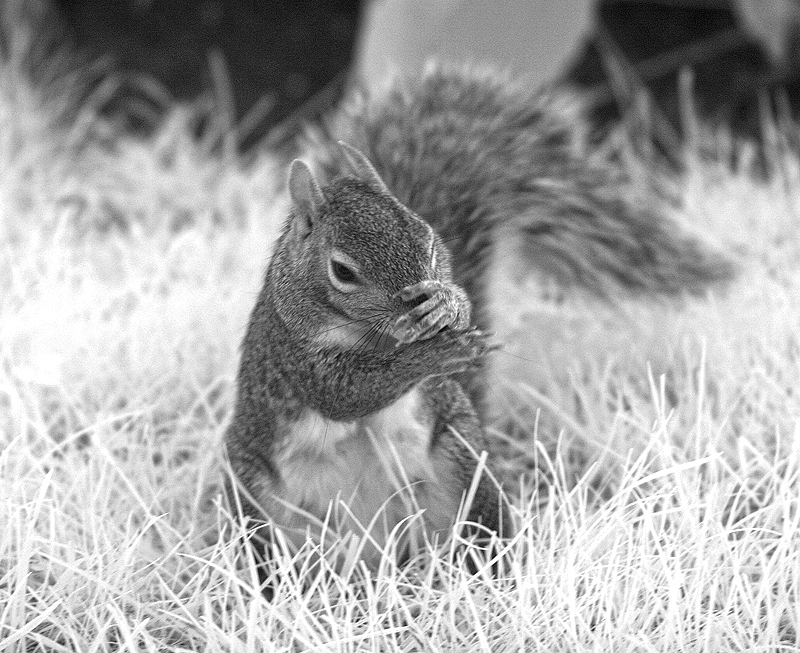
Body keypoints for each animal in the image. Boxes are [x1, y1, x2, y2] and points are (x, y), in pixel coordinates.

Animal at [222, 63, 736, 568]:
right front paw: (432, 356)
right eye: (342, 271)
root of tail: (375, 549)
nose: (415, 304)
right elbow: (345, 392)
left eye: (428, 236)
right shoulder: (294, 354)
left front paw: (448, 303)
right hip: (256, 500)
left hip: (461, 457)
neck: (376, 336)